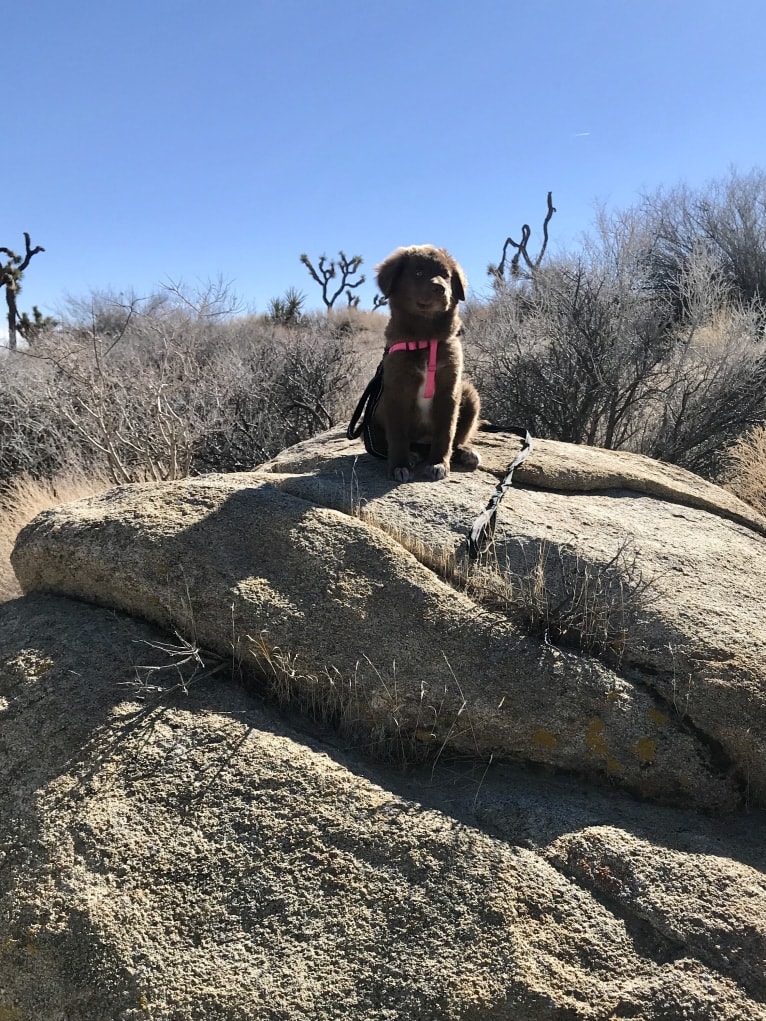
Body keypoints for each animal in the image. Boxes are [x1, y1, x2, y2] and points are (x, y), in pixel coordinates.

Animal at [369, 244, 480, 481]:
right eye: (418, 273)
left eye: (446, 276)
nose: (440, 289)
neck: (426, 337)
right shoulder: (396, 391)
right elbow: (398, 436)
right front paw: (399, 465)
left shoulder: (450, 388)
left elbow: (446, 432)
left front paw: (438, 463)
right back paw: (411, 455)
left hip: (469, 393)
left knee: (456, 439)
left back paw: (465, 452)